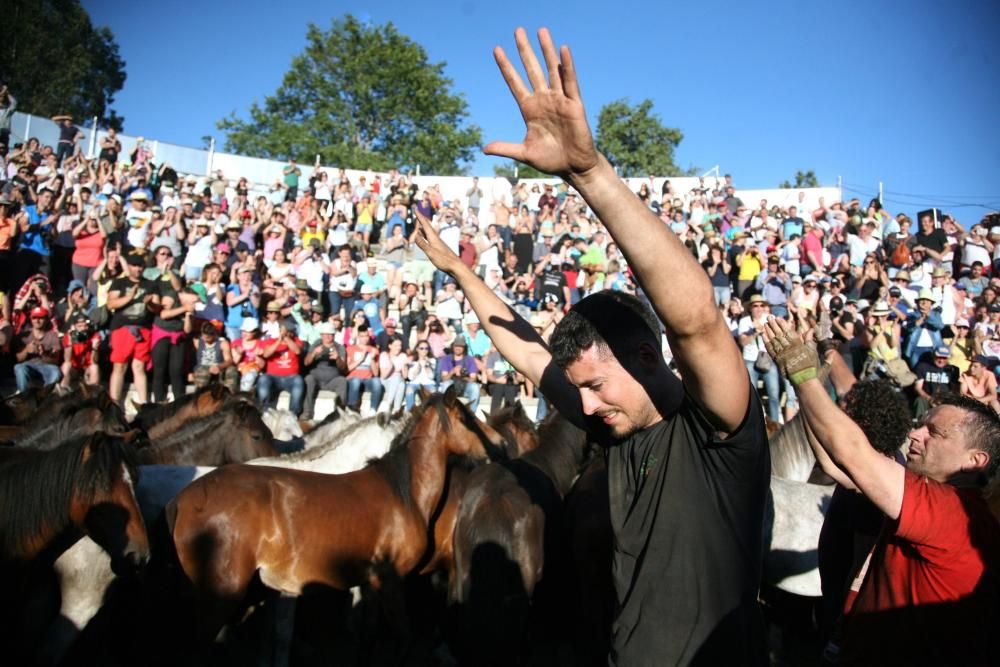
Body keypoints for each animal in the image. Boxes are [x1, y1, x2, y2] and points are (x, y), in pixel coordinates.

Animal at [167, 388, 504, 644]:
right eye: (467, 418)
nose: (499, 444)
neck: (402, 490)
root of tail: (181, 499)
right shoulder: (391, 580)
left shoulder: (367, 583)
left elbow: (362, 629)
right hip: (222, 594)